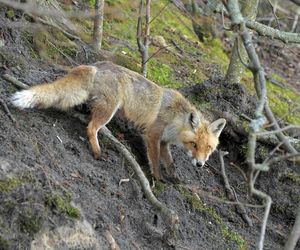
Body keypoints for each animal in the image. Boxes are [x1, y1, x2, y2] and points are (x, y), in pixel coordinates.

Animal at [10, 60, 225, 182]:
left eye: (208, 148)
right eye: (194, 144)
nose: (200, 165)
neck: (175, 122)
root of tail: (97, 66)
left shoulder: (164, 142)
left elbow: (170, 163)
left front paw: (175, 178)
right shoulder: (152, 135)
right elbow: (155, 161)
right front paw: (157, 178)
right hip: (109, 110)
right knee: (91, 127)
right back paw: (97, 151)